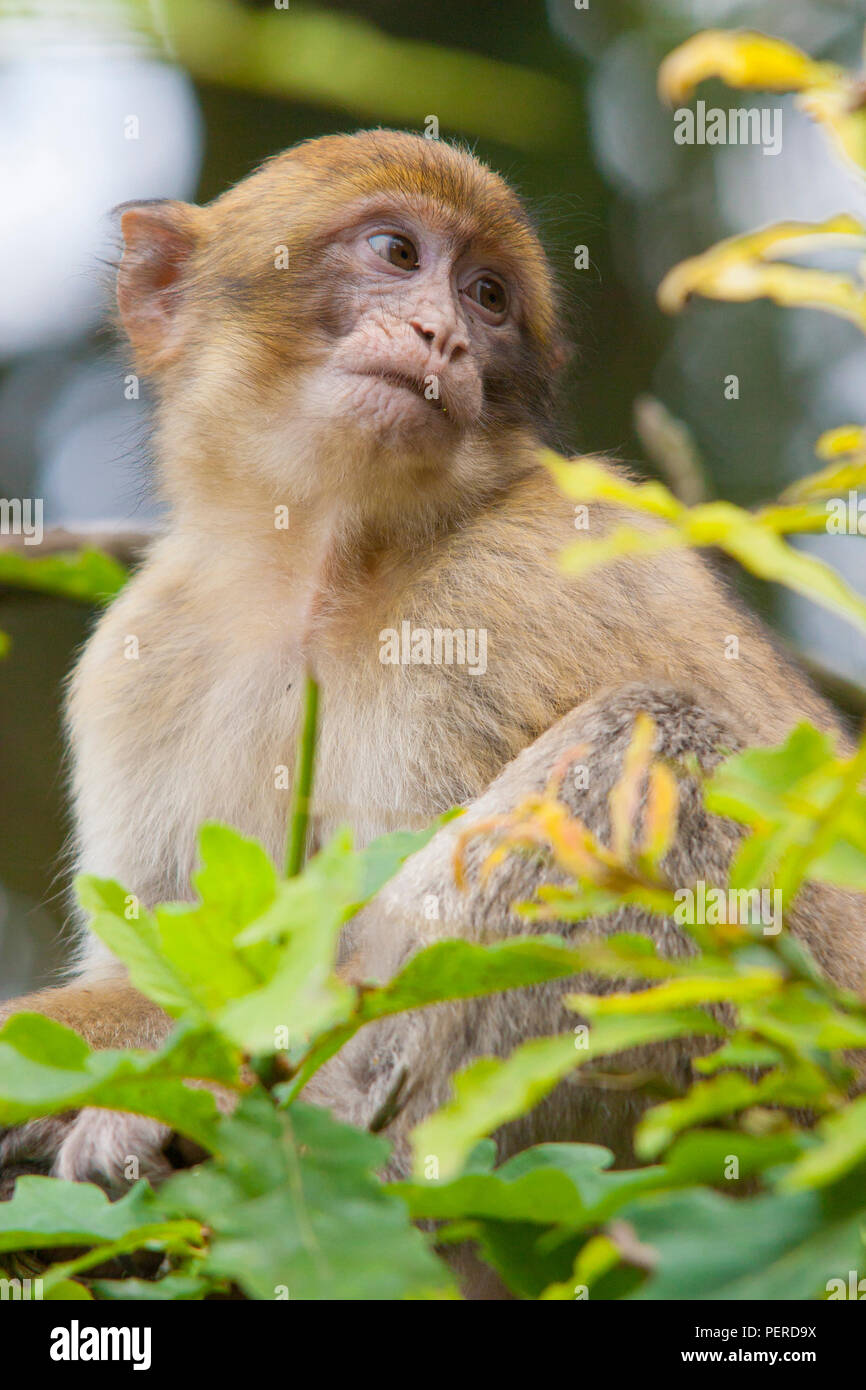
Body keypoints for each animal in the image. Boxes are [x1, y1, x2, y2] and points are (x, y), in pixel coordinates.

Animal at [0, 129, 863, 1205]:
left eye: (487, 296)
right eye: (396, 253)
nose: (442, 335)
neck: (324, 571)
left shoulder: (505, 602)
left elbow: (336, 964)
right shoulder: (138, 658)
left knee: (649, 733)